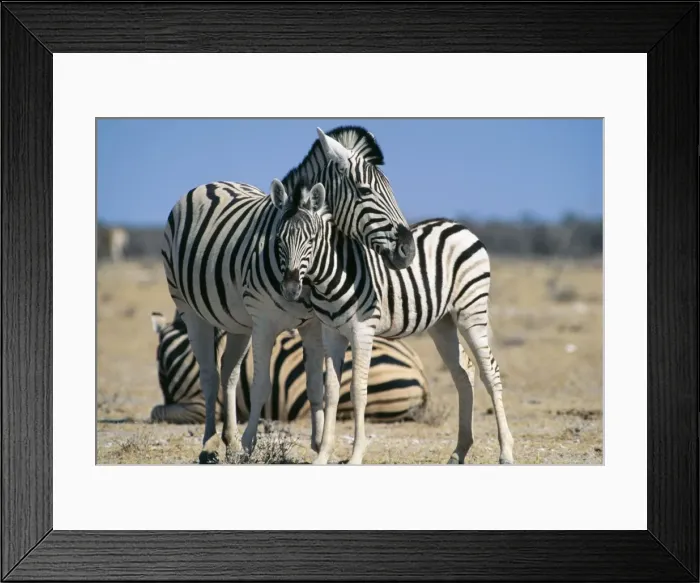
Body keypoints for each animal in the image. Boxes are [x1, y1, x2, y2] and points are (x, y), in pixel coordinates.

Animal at [271, 180, 515, 465]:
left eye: (310, 240)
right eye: (279, 240)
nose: (290, 289)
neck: (333, 276)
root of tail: (459, 226)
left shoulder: (362, 331)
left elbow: (357, 389)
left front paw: (356, 456)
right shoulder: (331, 332)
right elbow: (330, 391)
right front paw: (322, 456)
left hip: (471, 311)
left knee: (490, 371)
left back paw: (506, 452)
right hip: (442, 322)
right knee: (463, 372)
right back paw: (459, 451)